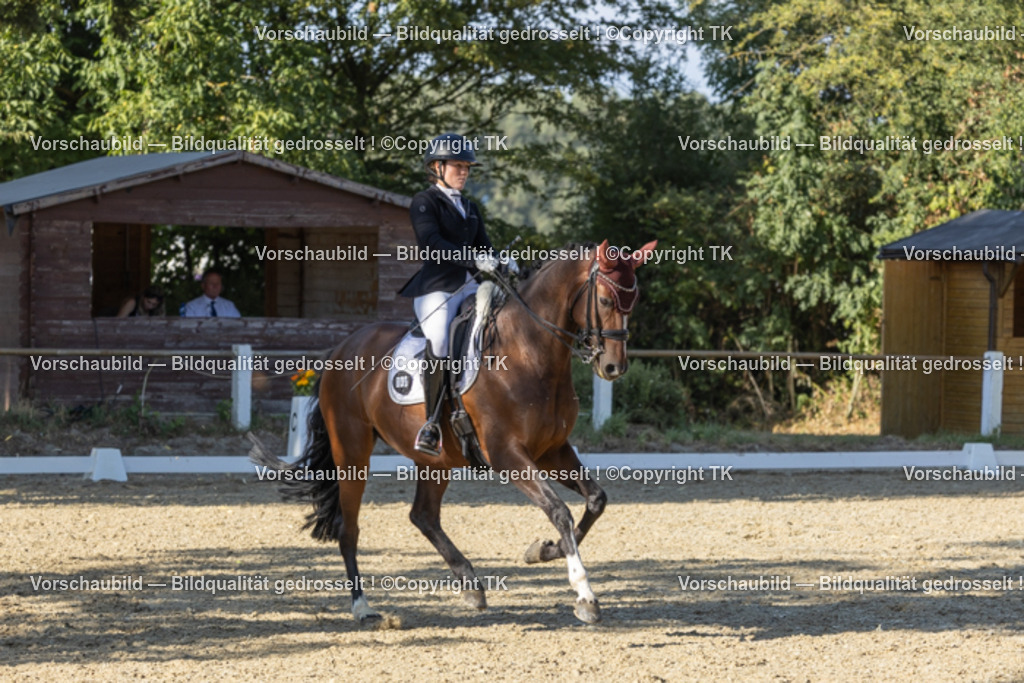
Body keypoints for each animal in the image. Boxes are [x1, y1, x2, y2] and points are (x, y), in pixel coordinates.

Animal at [252, 239, 657, 625]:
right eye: (604, 299)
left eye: (634, 300)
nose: (613, 367)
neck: (529, 351)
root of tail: (340, 349)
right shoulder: (507, 455)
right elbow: (559, 511)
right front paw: (585, 596)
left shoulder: (552, 450)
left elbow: (596, 500)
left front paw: (542, 551)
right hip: (352, 451)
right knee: (348, 527)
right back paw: (363, 608)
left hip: (436, 459)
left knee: (423, 515)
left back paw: (471, 584)